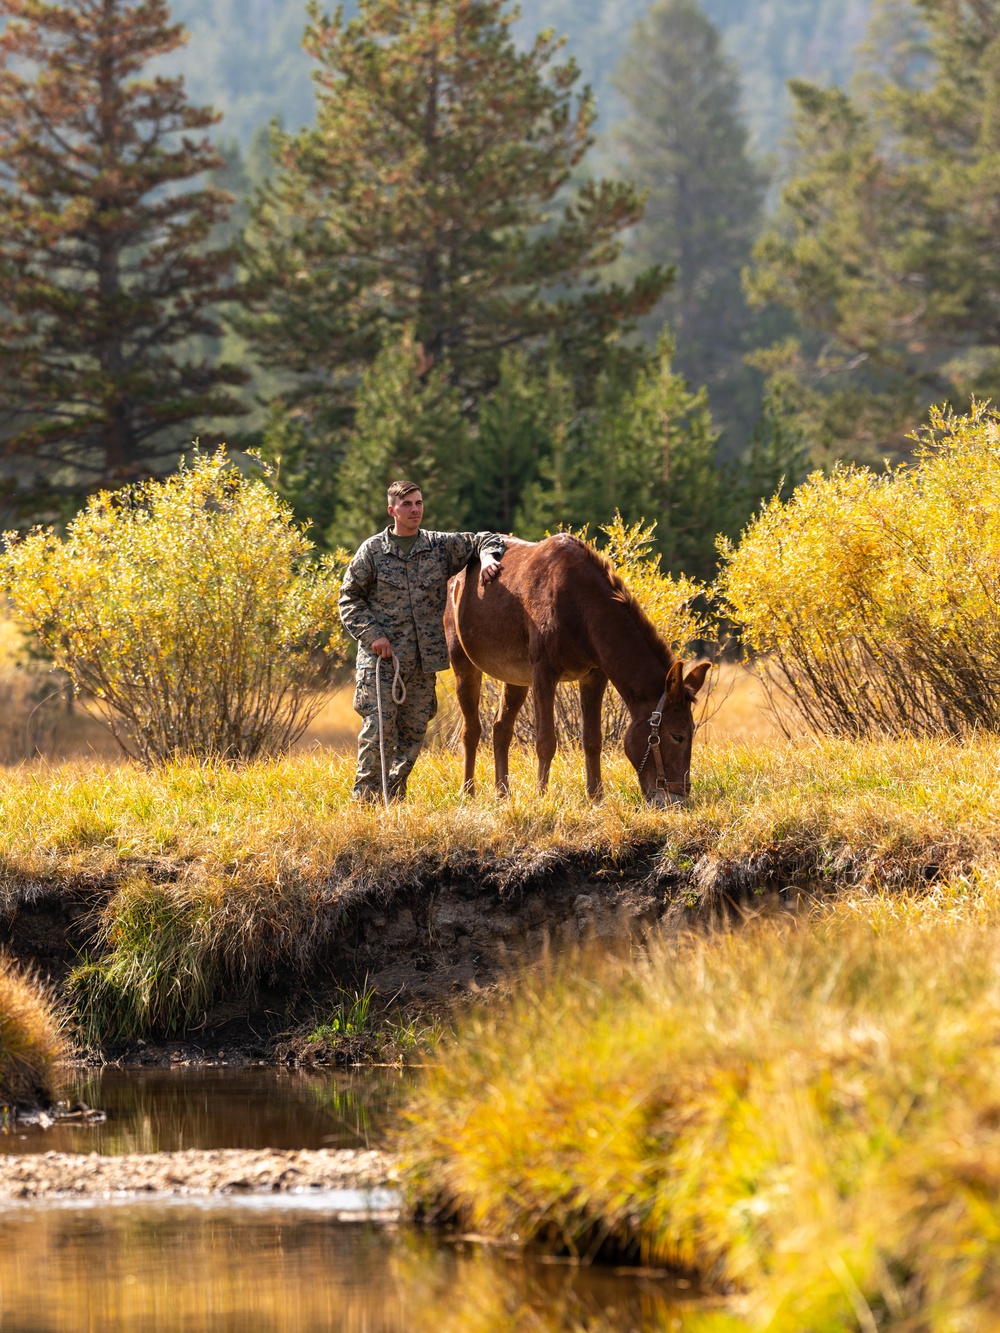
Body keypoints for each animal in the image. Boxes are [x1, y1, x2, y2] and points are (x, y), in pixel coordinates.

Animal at [445, 527, 714, 799]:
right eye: (677, 736)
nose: (678, 797)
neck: (582, 609)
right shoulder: (544, 673)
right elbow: (545, 742)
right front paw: (541, 797)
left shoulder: (594, 675)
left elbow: (592, 740)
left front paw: (595, 797)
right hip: (463, 664)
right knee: (472, 731)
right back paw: (468, 791)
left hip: (515, 676)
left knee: (501, 729)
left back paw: (502, 793)